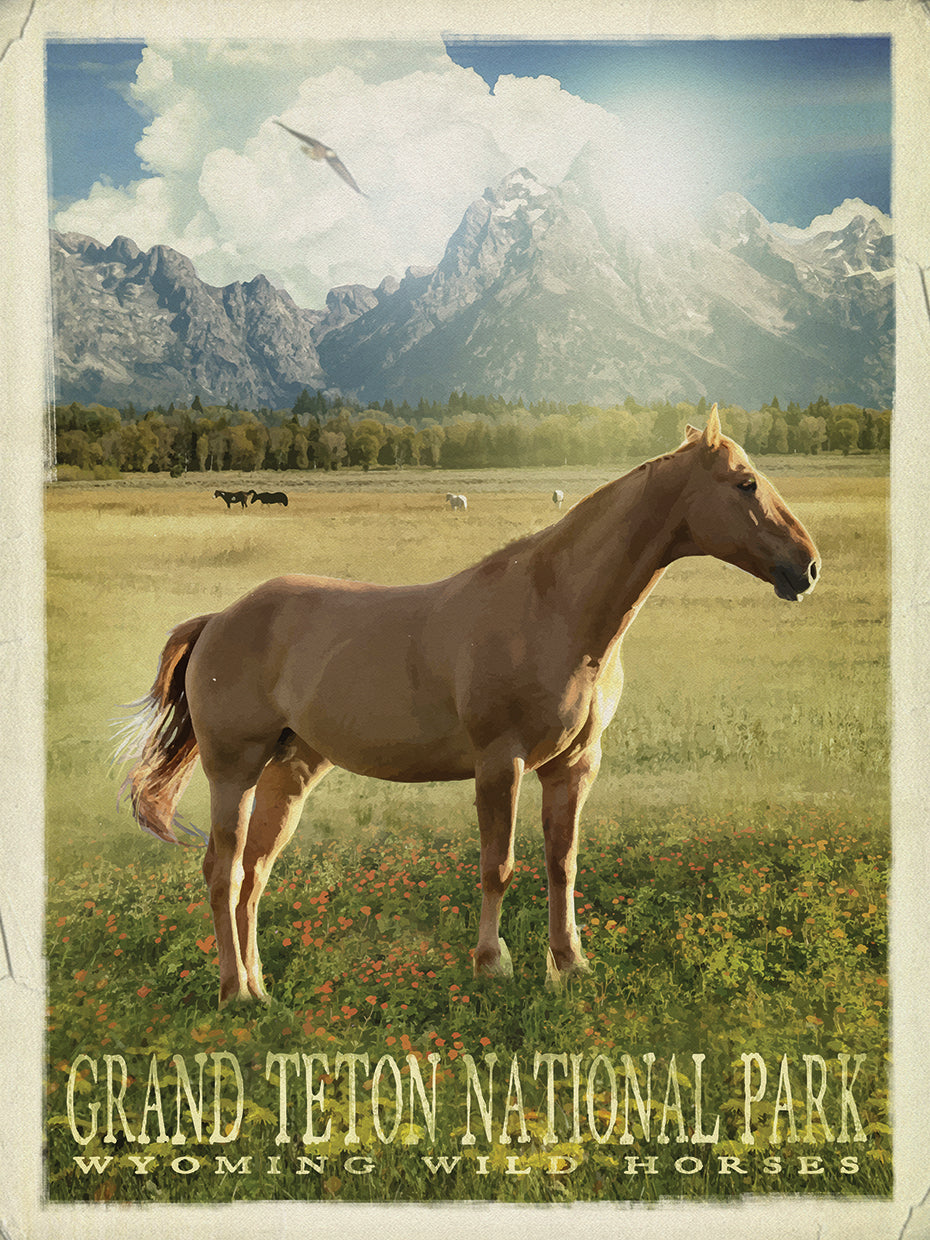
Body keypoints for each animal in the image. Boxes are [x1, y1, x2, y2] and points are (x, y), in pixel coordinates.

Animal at [120, 407, 819, 1005]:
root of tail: (219, 619)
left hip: (287, 774)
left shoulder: (574, 767)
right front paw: (491, 965)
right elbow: (498, 867)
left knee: (254, 876)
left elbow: (562, 865)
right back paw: (233, 993)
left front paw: (570, 965)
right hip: (233, 771)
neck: (554, 609)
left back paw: (261, 990)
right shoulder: (499, 764)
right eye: (746, 483)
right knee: (224, 873)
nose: (807, 568)